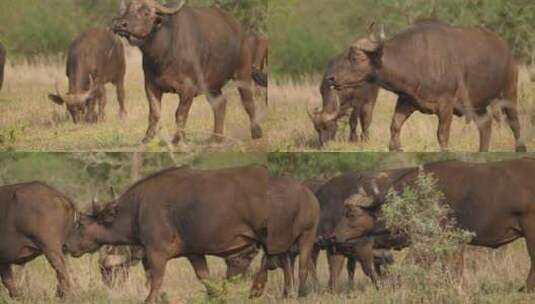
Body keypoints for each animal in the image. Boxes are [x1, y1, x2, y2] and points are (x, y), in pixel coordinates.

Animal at [112, 0, 264, 145]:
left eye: (146, 13)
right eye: (127, 11)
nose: (120, 25)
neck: (164, 53)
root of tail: (240, 30)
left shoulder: (188, 89)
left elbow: (180, 113)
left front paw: (178, 139)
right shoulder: (151, 85)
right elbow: (154, 113)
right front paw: (147, 139)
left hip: (243, 73)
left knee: (248, 102)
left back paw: (256, 133)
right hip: (211, 85)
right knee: (220, 104)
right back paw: (216, 137)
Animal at [326, 19, 528, 152]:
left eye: (355, 57)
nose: (331, 78)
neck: (417, 61)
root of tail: (506, 50)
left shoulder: (446, 105)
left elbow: (442, 135)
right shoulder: (406, 101)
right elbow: (394, 129)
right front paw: (396, 149)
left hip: (509, 92)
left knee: (515, 123)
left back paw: (521, 148)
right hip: (478, 104)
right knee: (485, 126)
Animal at [336, 158, 535, 290]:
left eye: (351, 213)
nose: (334, 235)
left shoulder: (429, 240)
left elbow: (412, 263)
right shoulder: (454, 243)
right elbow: (453, 267)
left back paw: (526, 288)